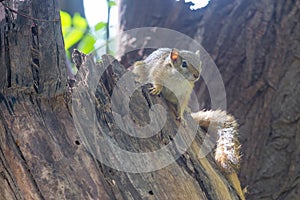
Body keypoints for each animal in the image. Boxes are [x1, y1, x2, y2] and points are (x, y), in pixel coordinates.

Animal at [132, 47, 246, 199]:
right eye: (184, 64)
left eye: (200, 64)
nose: (197, 75)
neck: (179, 79)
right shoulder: (158, 71)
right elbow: (156, 80)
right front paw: (156, 89)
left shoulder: (184, 93)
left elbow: (181, 104)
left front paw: (181, 116)